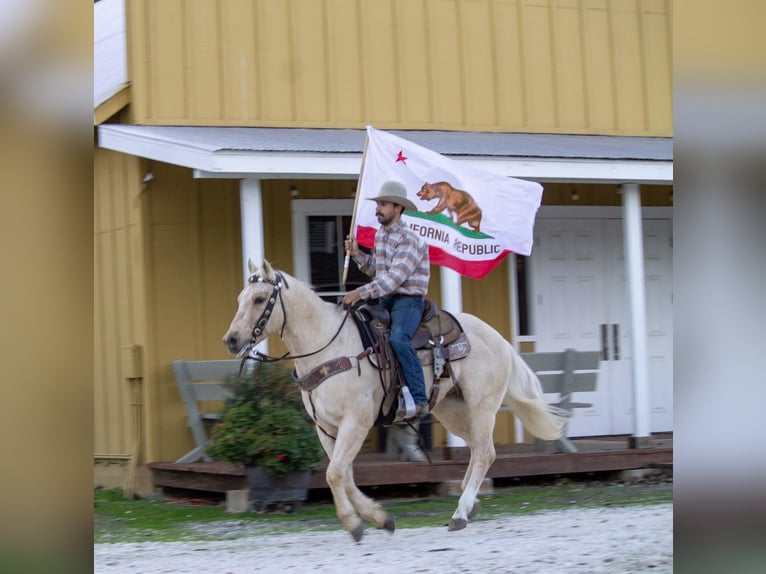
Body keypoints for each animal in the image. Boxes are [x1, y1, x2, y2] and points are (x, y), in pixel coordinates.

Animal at [225, 262, 568, 544]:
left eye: (259, 299)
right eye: (240, 298)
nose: (231, 340)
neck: (329, 346)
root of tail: (499, 339)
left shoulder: (356, 423)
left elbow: (335, 474)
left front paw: (355, 524)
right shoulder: (326, 429)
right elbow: (344, 475)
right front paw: (379, 518)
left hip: (481, 406)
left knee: (485, 452)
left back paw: (460, 513)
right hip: (452, 410)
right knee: (476, 449)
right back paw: (469, 504)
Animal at [354, 126, 544, 282]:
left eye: (383, 204)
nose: (417, 194)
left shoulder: (443, 202)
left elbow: (439, 208)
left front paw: (432, 214)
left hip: (470, 214)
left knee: (469, 223)